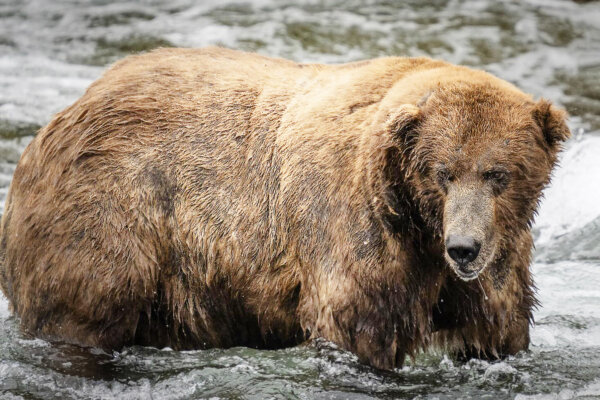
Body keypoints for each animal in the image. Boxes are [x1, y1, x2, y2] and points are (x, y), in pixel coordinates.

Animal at [0, 46, 568, 368]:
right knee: (85, 304)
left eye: (498, 174)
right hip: (113, 210)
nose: (464, 248)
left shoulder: (496, 262)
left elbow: (497, 329)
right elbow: (354, 326)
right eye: (443, 172)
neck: (417, 226)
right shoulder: (355, 234)